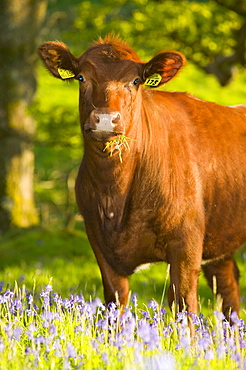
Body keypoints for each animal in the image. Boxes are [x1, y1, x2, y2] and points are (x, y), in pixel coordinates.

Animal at [38, 35, 246, 326]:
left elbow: (184, 307)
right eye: (81, 77)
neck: (113, 196)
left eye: (135, 81)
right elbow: (115, 305)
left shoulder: (186, 244)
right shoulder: (99, 242)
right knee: (228, 289)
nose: (105, 119)